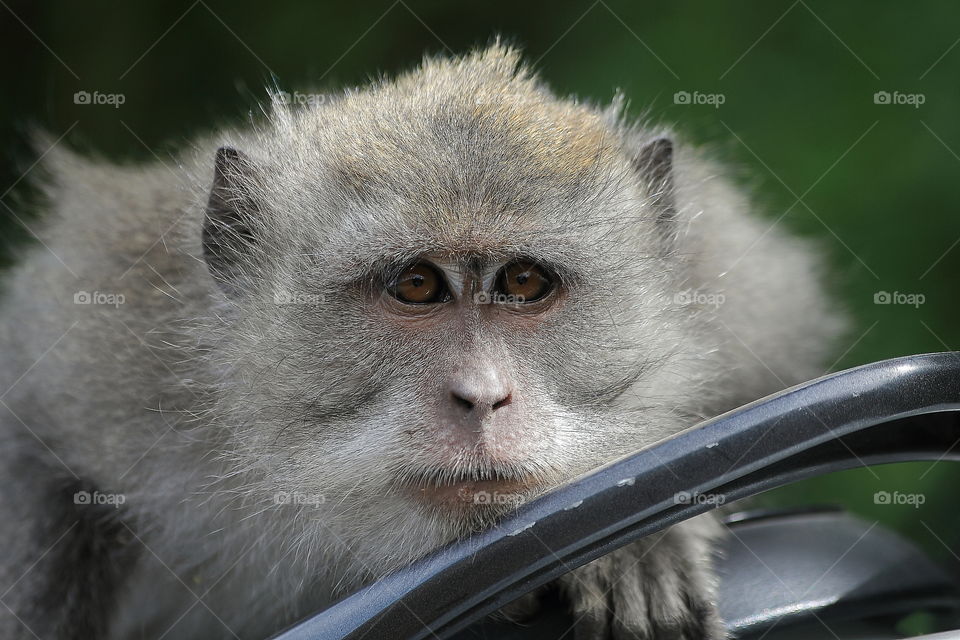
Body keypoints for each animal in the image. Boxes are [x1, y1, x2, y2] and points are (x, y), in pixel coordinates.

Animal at [0, 45, 844, 640]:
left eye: (524, 282)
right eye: (415, 285)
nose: (483, 397)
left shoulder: (734, 289)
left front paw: (639, 544)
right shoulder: (109, 347)